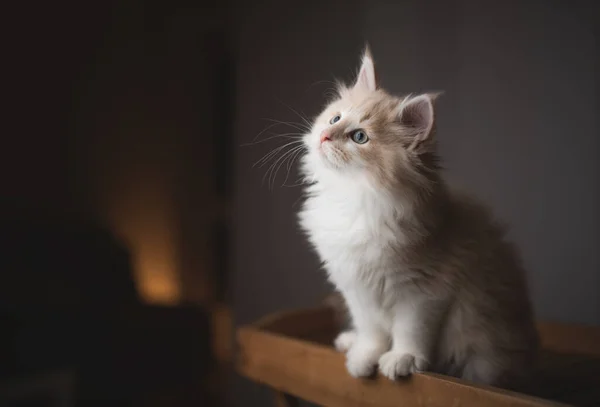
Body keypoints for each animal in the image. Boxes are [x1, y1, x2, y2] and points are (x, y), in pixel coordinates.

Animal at [298, 47, 540, 388]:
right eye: (335, 118)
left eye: (359, 137)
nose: (324, 136)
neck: (356, 200)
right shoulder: (357, 288)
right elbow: (371, 330)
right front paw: (363, 356)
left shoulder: (424, 291)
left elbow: (410, 331)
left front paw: (403, 359)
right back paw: (349, 340)